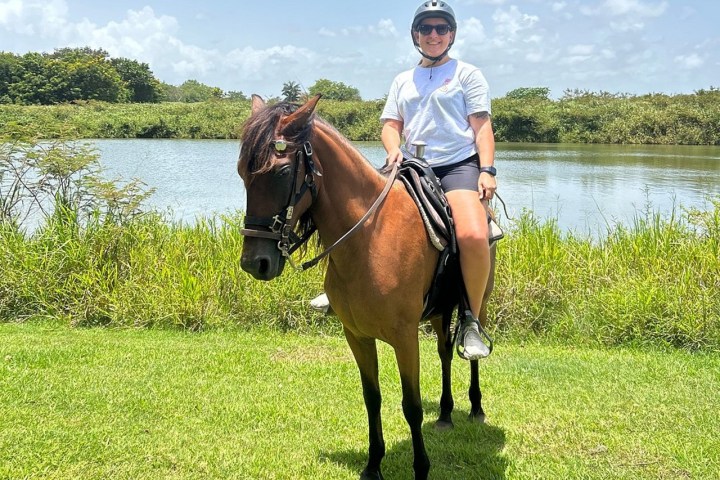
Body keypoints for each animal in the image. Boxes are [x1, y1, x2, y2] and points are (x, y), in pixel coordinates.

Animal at [238, 94, 496, 480]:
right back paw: (446, 413)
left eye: (281, 172)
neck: (369, 239)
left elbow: (411, 405)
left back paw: (476, 406)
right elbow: (371, 398)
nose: (255, 262)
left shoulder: (405, 338)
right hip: (438, 312)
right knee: (445, 353)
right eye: (242, 172)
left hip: (477, 302)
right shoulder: (357, 336)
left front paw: (421, 468)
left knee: (469, 345)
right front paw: (373, 465)